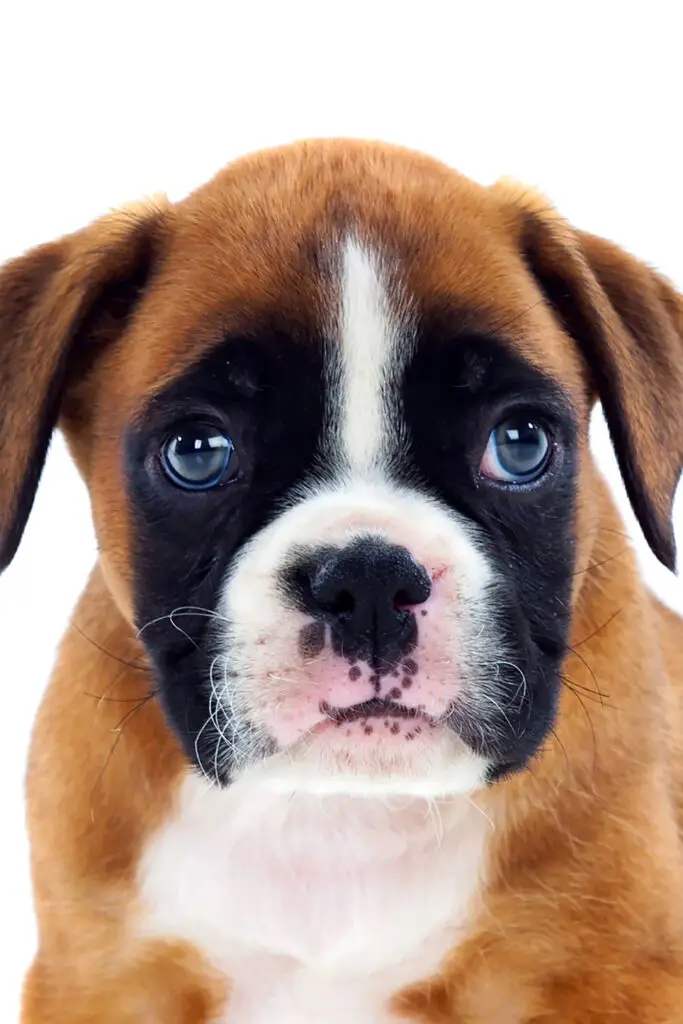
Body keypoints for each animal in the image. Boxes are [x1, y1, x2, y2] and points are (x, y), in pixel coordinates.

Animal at [1, 138, 683, 1024]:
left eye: (520, 442)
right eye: (197, 453)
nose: (368, 583)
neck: (339, 814)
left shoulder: (613, 981)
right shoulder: (100, 981)